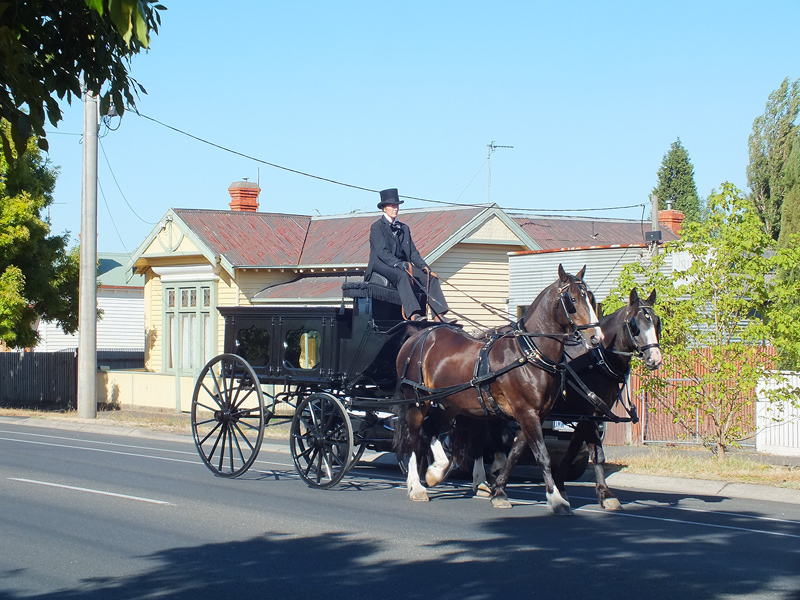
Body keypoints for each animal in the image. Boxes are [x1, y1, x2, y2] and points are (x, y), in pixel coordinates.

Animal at [394, 264, 600, 512]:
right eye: (572, 299)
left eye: (591, 298)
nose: (596, 337)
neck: (528, 352)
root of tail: (417, 335)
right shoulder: (526, 412)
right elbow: (542, 454)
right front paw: (556, 498)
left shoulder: (535, 415)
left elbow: (515, 453)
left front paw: (499, 491)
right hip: (417, 401)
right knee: (413, 438)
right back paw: (416, 486)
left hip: (449, 404)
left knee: (429, 429)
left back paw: (436, 471)